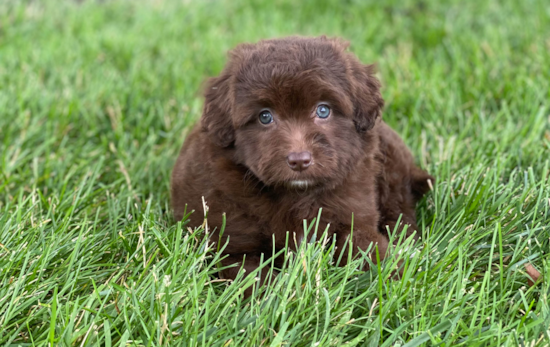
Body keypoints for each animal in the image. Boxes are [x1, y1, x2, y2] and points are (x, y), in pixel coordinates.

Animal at [172, 36, 436, 290]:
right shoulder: (231, 245)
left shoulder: (354, 213)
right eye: (265, 116)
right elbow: (253, 278)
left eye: (323, 110)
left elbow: (367, 249)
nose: (299, 160)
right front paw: (276, 299)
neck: (297, 195)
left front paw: (397, 279)